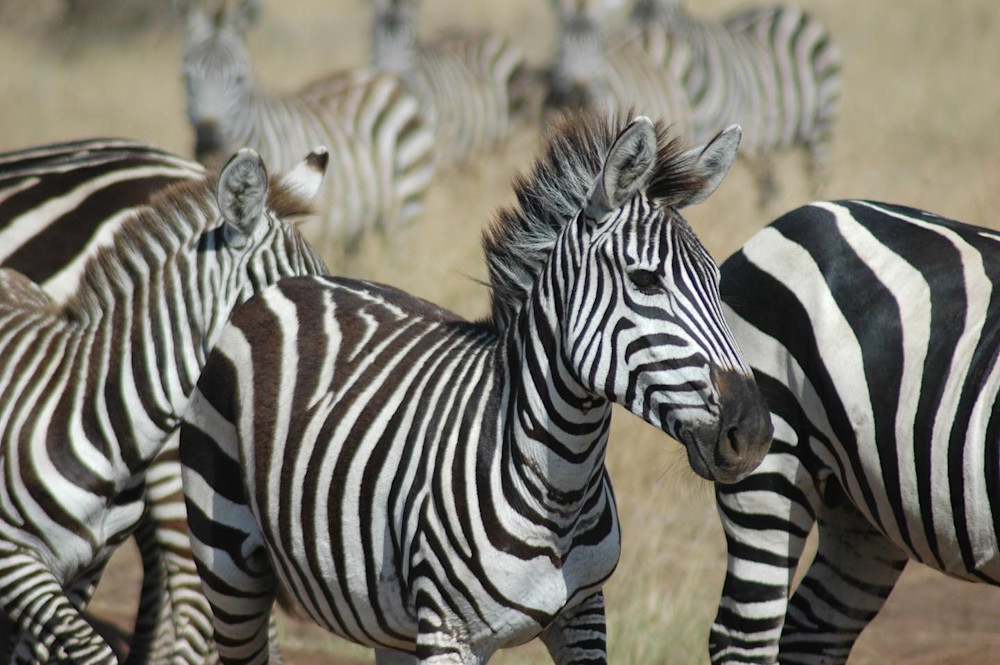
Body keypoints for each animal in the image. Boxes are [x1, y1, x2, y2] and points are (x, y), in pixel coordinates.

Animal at [179, 112, 774, 664]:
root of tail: (284, 284)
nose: (754, 435)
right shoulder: (449, 633)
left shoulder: (585, 611)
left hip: (385, 620)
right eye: (646, 280)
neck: (563, 484)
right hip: (228, 563)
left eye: (719, 283)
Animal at [369, 0, 530, 168]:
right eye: (374, 41)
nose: (393, 81)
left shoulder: (440, 142)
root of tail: (488, 32)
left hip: (515, 121)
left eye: (411, 43)